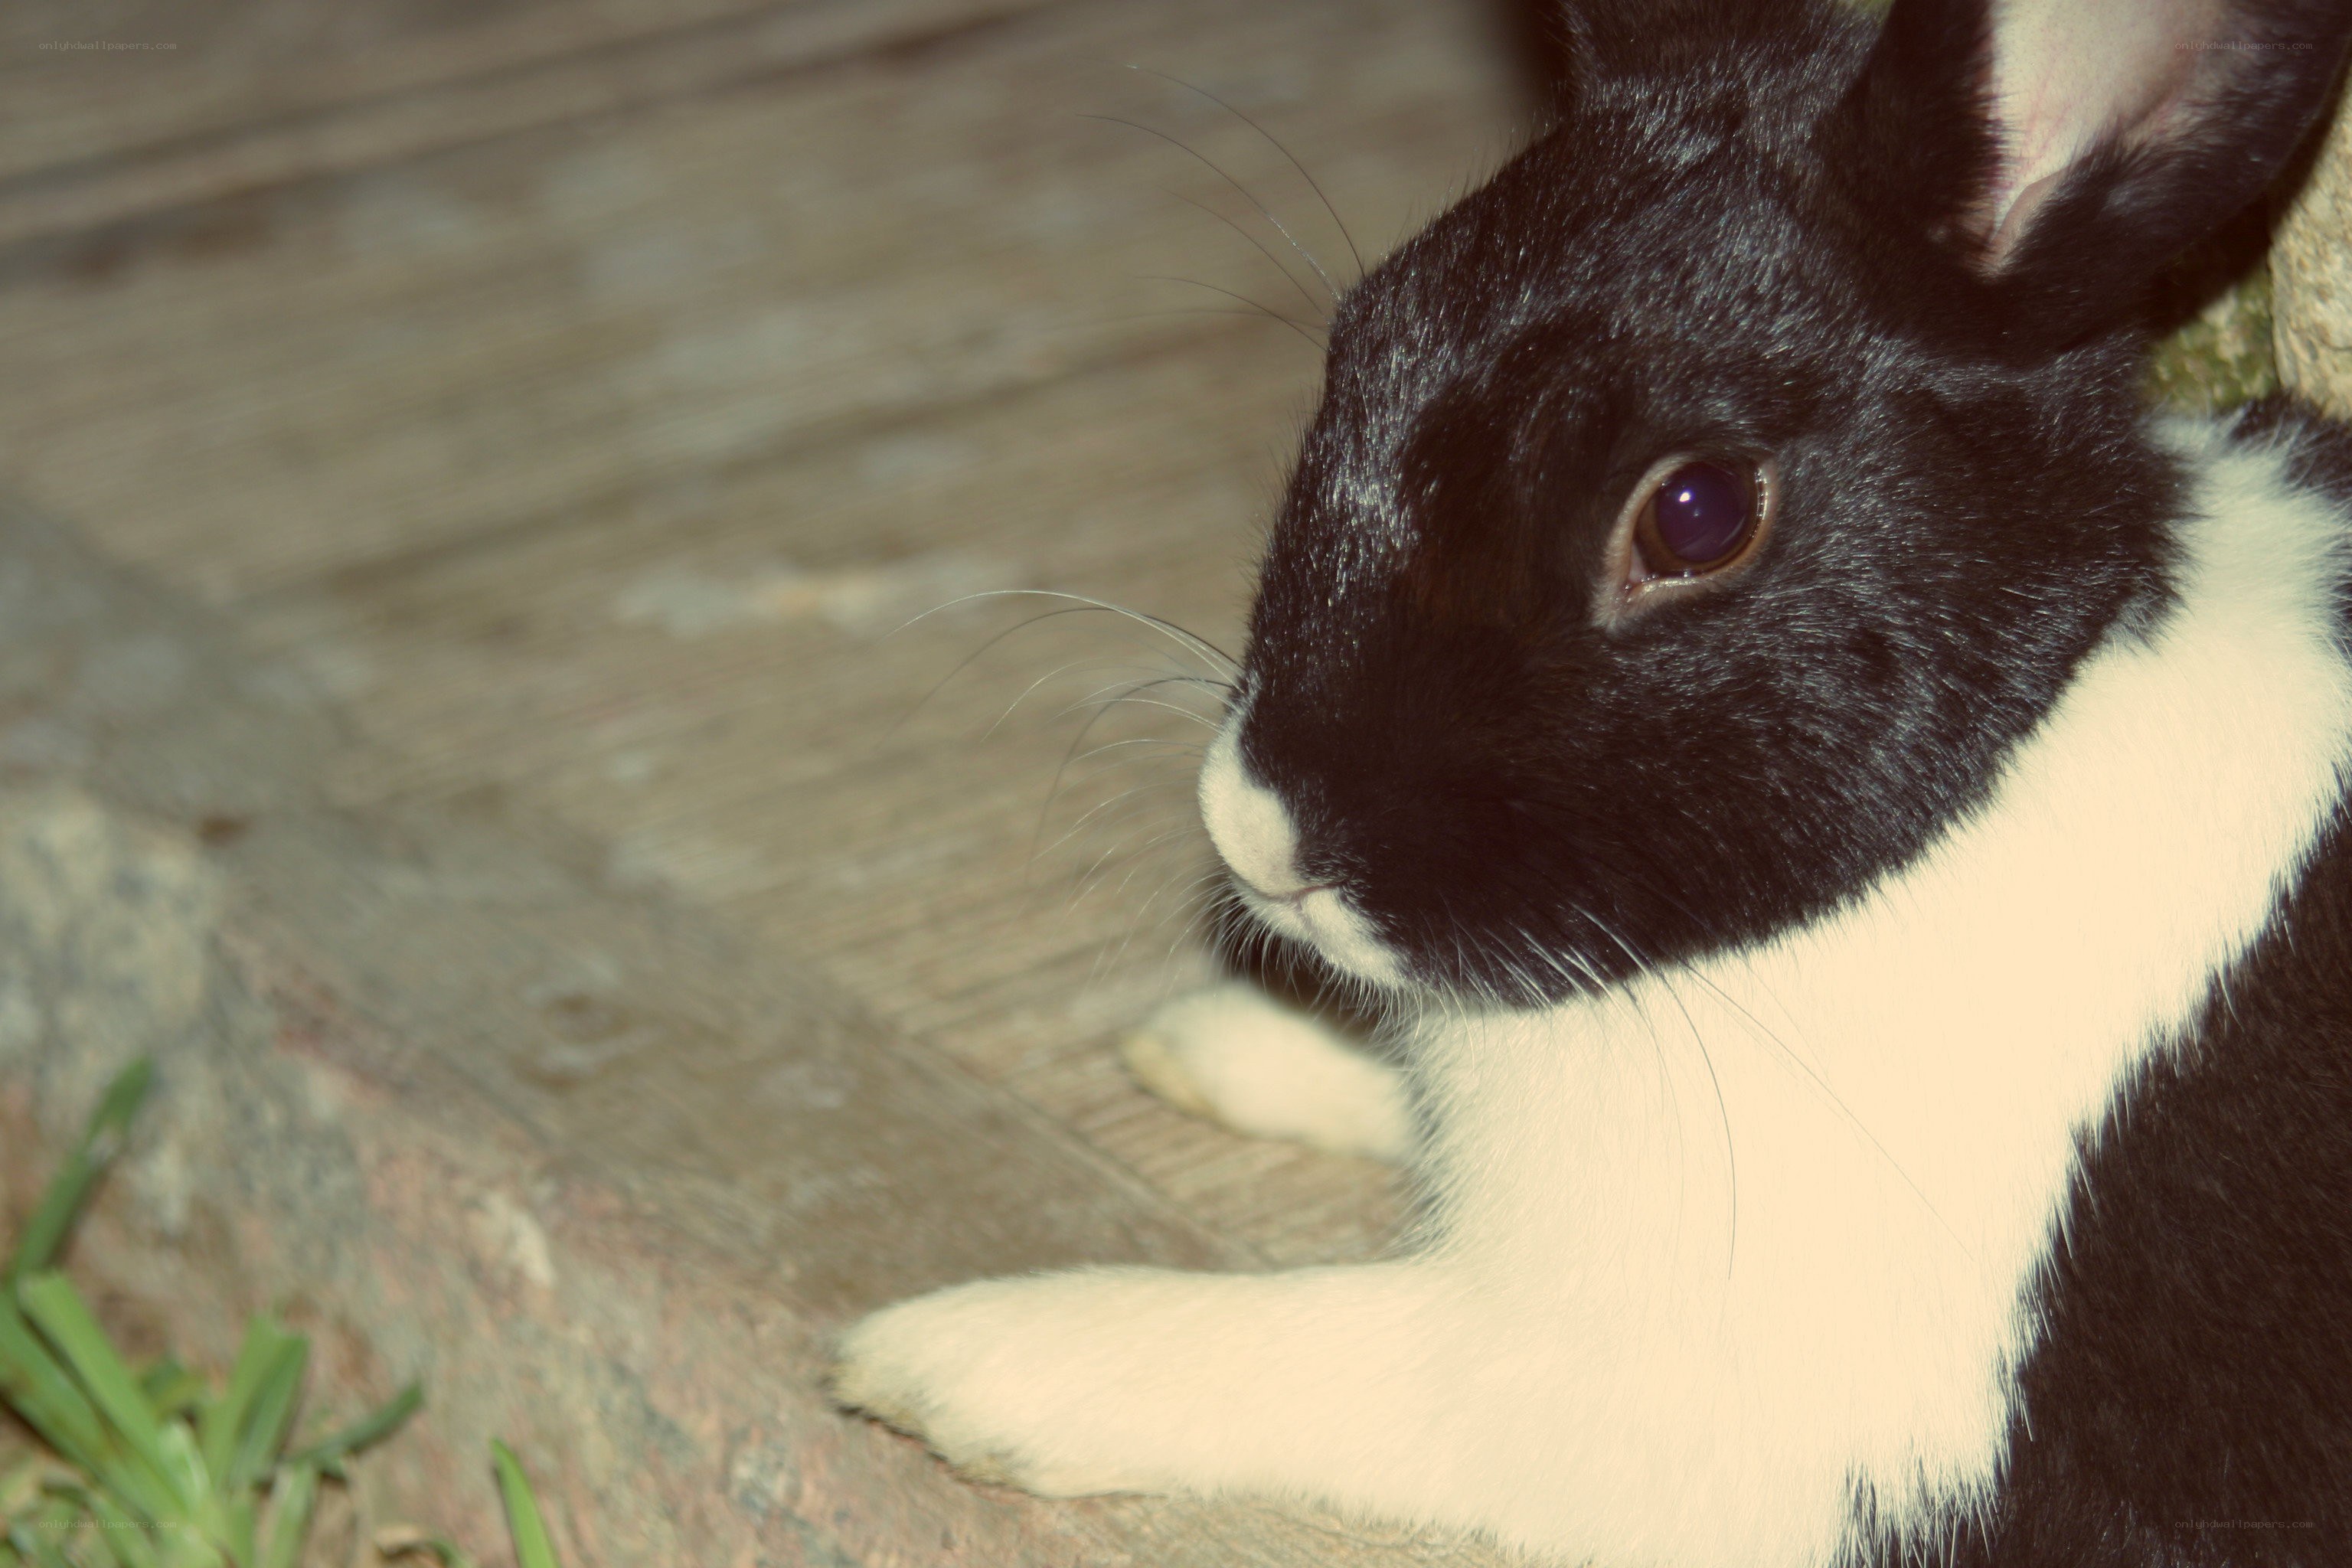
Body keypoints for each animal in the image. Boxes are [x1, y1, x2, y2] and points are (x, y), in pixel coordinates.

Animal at [834, 0, 2352, 1563]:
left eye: (1694, 513)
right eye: (1360, 335)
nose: (1261, 832)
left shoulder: (1683, 1411)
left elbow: (1318, 1348)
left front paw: (957, 1362)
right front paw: (1223, 1043)